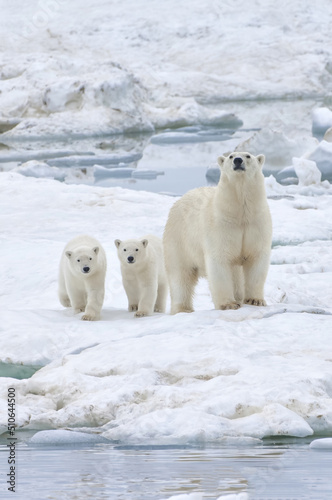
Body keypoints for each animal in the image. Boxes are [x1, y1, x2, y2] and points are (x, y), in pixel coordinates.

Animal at [163, 151, 272, 312]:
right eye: (231, 156)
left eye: (248, 156)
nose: (238, 161)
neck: (240, 213)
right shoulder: (220, 225)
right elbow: (220, 260)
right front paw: (229, 304)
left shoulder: (256, 224)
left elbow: (256, 258)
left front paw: (255, 300)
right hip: (179, 240)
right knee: (181, 276)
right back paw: (183, 309)